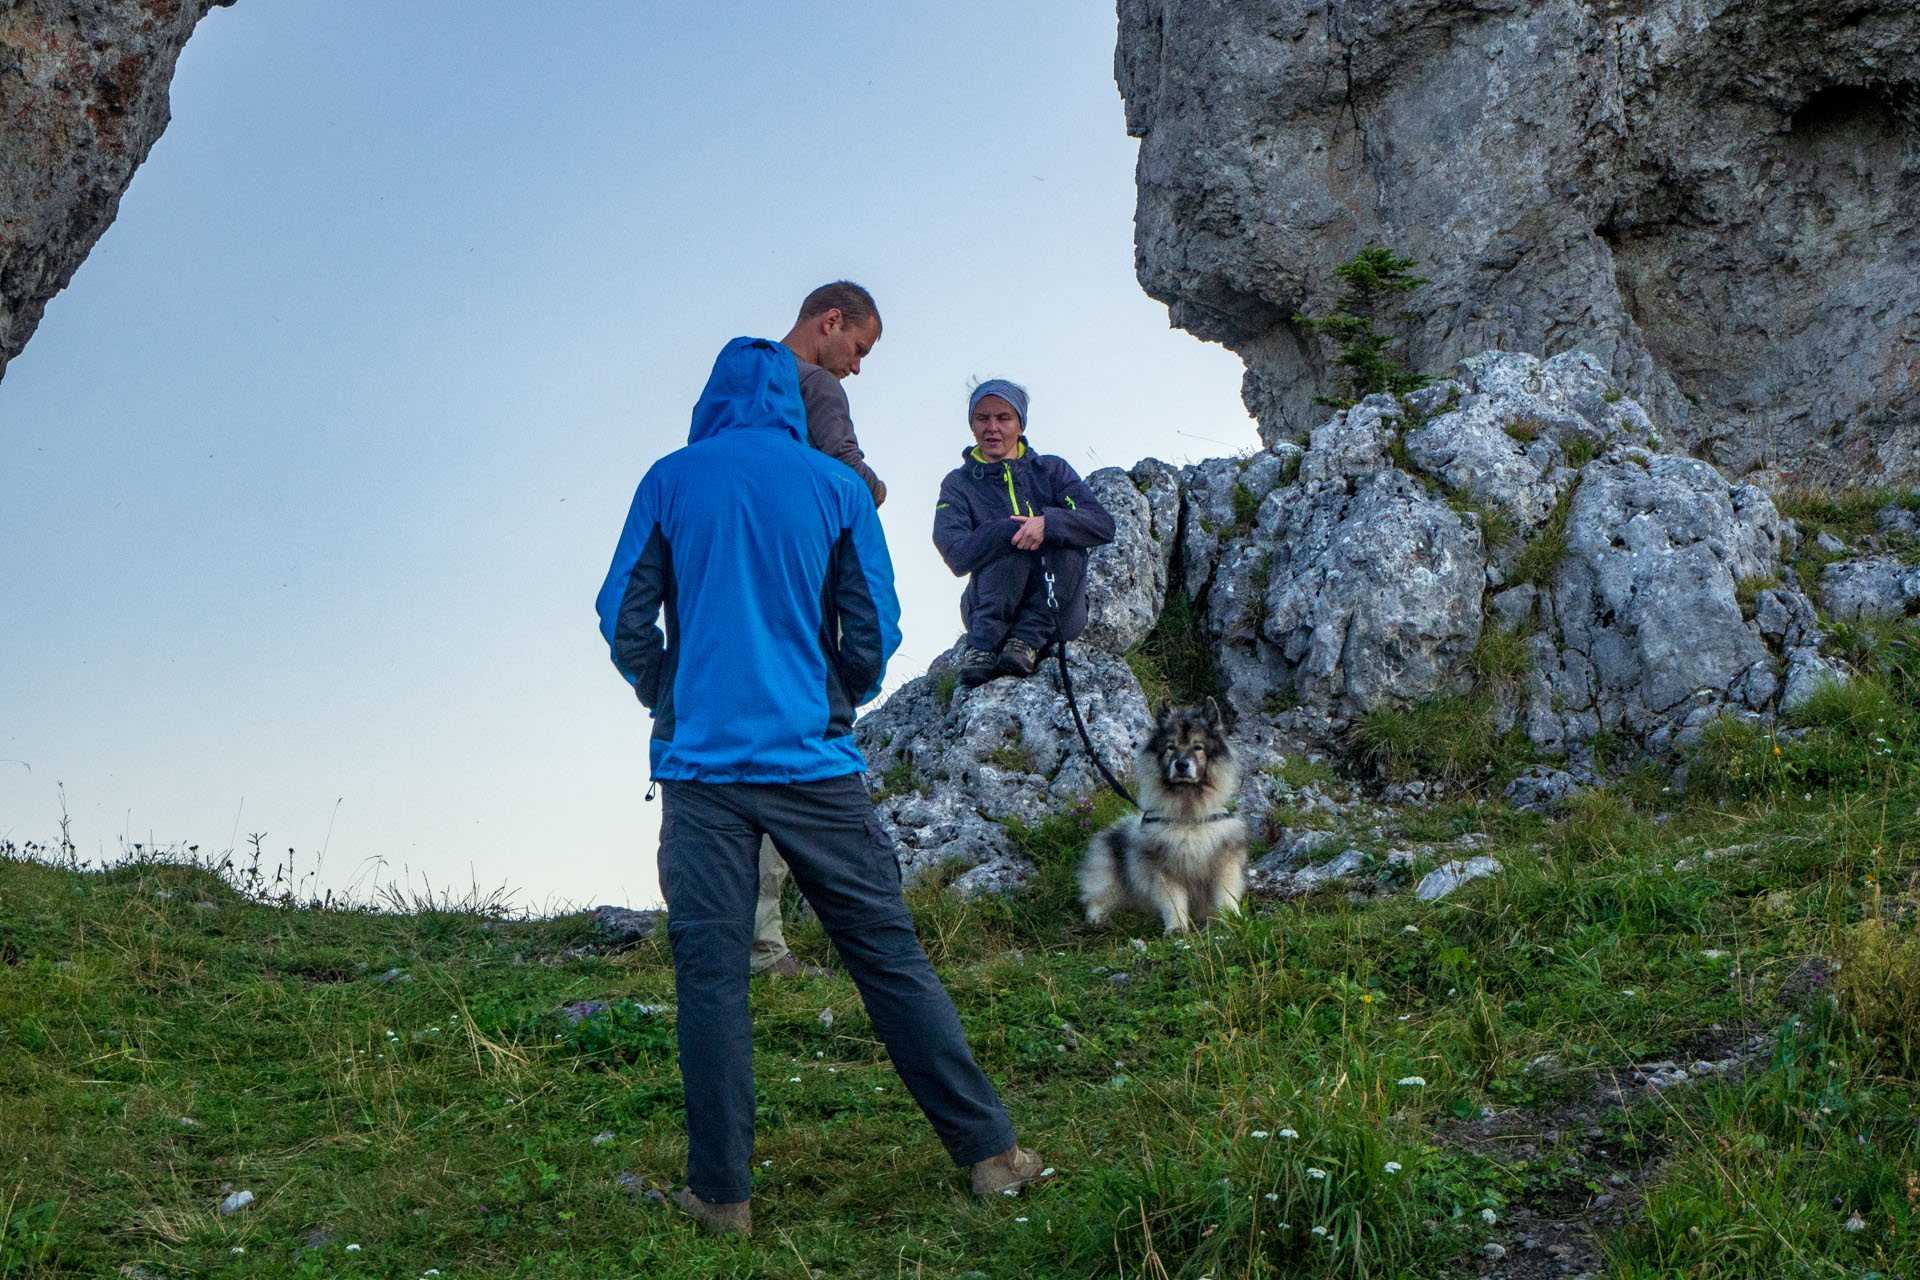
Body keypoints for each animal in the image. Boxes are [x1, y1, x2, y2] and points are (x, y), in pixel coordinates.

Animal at [1075, 694, 1251, 936]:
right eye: (1170, 747)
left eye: (1198, 747)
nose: (1181, 764)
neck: (1188, 816)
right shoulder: (1165, 870)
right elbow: (1173, 901)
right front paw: (1176, 928)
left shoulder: (1224, 862)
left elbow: (1226, 897)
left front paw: (1230, 922)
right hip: (1109, 876)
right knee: (1098, 899)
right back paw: (1099, 920)